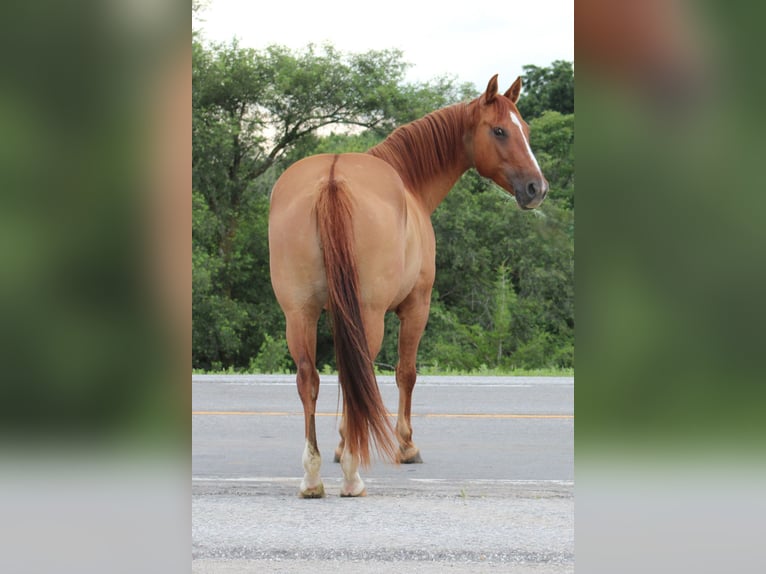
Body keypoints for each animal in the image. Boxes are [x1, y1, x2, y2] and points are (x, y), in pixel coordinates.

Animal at [268, 75, 544, 500]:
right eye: (499, 130)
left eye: (524, 130)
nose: (536, 188)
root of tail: (332, 177)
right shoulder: (417, 305)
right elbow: (405, 373)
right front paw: (406, 444)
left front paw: (340, 444)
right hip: (369, 314)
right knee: (358, 376)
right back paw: (352, 474)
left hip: (299, 313)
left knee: (308, 378)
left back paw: (312, 476)